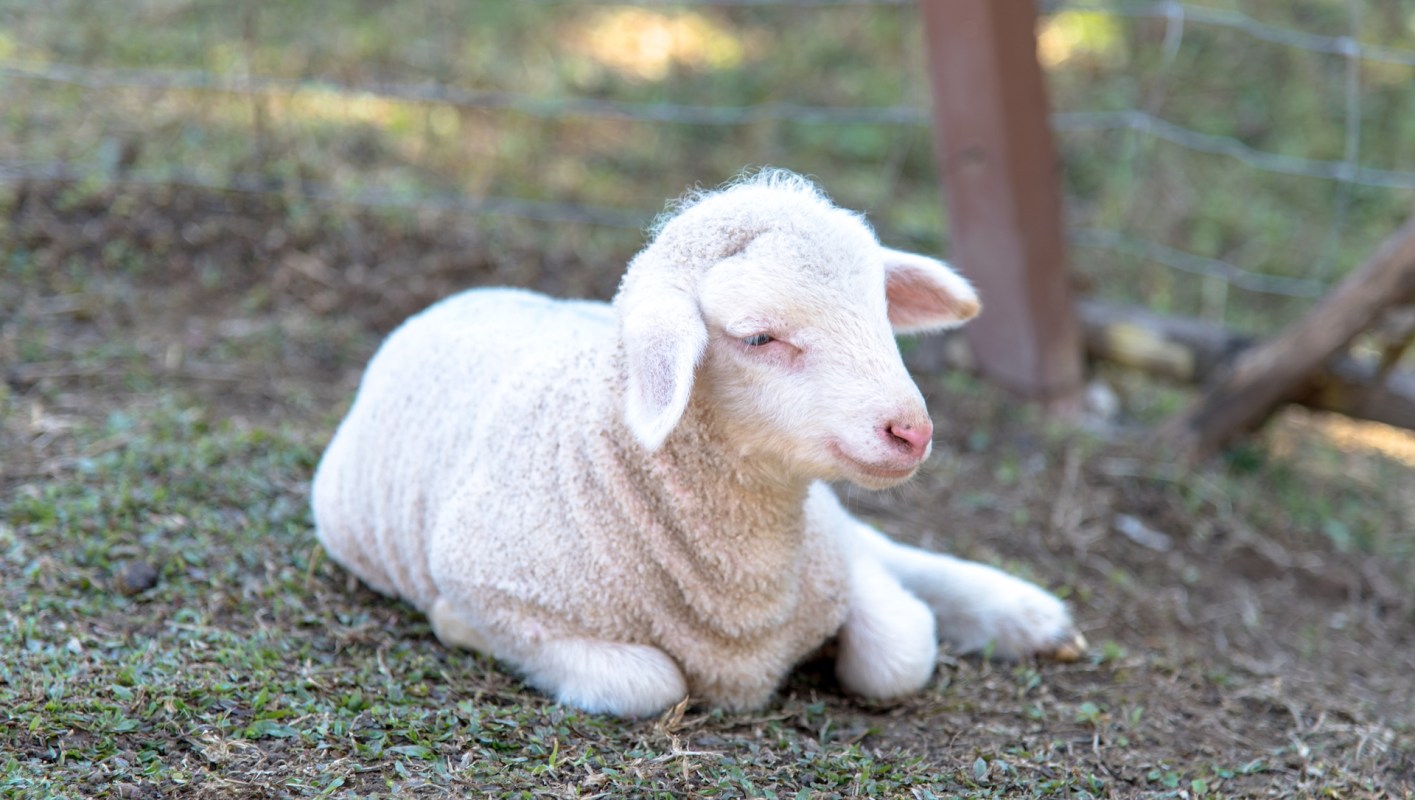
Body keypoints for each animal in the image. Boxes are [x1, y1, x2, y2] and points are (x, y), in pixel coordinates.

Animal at [311, 169, 1085, 718]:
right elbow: (652, 682)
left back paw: (1029, 616)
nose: (911, 430)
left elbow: (898, 652)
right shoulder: (492, 588)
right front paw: (453, 625)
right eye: (758, 338)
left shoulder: (830, 556)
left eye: (881, 312)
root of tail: (469, 295)